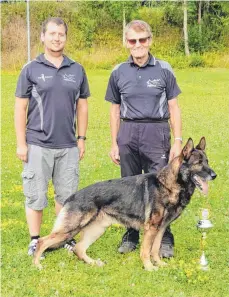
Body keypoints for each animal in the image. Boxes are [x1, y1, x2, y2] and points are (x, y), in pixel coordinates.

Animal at [33, 138, 216, 270]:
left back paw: (93, 263)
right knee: (42, 241)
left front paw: (160, 264)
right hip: (71, 228)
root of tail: (72, 196)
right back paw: (37, 265)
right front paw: (149, 267)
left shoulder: (161, 228)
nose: (214, 175)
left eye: (207, 161)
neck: (168, 185)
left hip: (97, 229)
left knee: (78, 248)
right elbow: (146, 251)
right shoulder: (151, 229)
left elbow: (155, 249)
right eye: (198, 163)